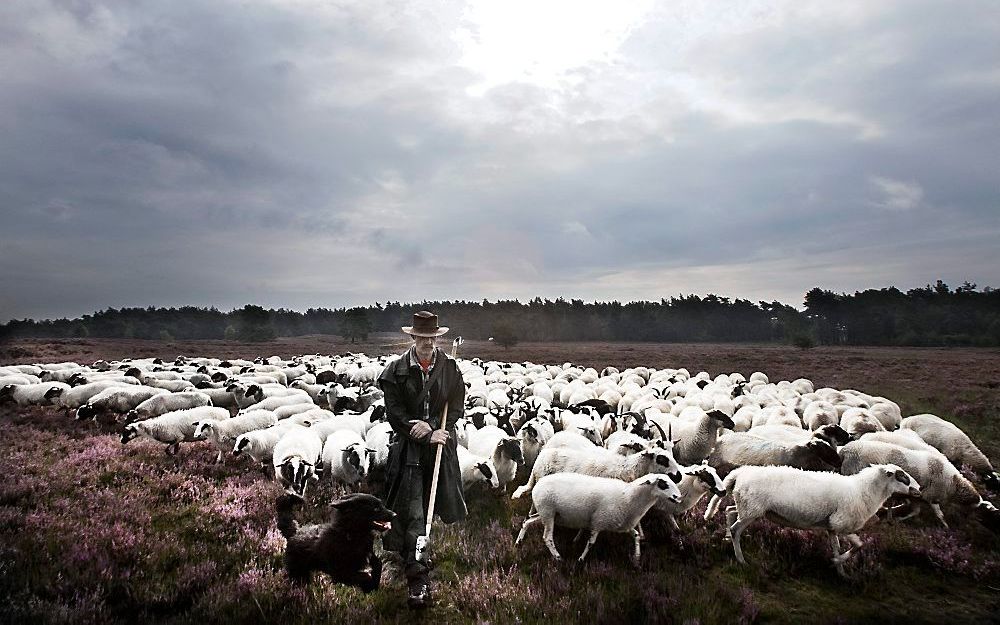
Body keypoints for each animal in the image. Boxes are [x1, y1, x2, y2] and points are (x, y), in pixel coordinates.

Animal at [516, 472, 680, 564]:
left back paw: (519, 542)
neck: (628, 497)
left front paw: (637, 558)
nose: (678, 497)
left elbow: (637, 536)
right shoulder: (598, 522)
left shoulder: (623, 524)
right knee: (547, 537)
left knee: (527, 521)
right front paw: (581, 559)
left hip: (547, 514)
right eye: (663, 484)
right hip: (548, 512)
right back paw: (558, 558)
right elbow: (591, 543)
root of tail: (538, 484)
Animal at [708, 464, 916, 576]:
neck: (862, 491)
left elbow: (838, 546)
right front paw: (836, 561)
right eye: (902, 477)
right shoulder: (841, 523)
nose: (919, 489)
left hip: (748, 507)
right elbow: (859, 545)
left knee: (729, 511)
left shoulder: (832, 527)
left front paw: (841, 571)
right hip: (752, 509)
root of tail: (740, 473)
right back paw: (741, 559)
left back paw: (726, 538)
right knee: (736, 528)